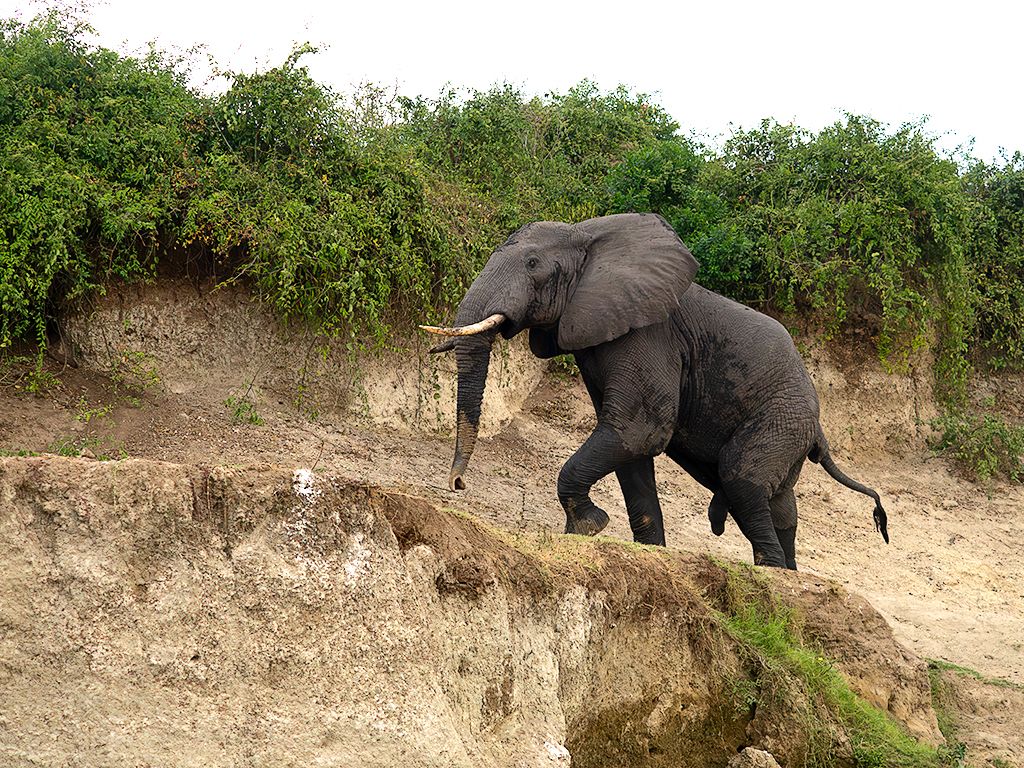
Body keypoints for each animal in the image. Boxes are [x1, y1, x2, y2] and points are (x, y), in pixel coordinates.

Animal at [422, 213, 888, 569]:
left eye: (533, 263)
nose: (458, 484)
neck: (588, 237)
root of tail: (819, 423)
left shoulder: (649, 335)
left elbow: (638, 430)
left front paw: (589, 527)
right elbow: (629, 446)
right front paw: (647, 551)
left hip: (781, 417)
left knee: (743, 479)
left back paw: (770, 572)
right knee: (779, 502)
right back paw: (788, 572)